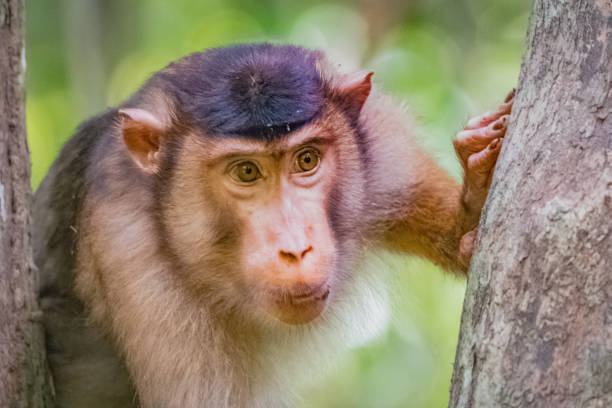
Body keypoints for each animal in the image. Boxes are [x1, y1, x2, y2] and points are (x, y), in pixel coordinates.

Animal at [32, 43, 512, 406]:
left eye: (307, 159)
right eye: (246, 172)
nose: (296, 249)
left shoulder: (383, 144)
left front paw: (477, 189)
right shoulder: (136, 263)